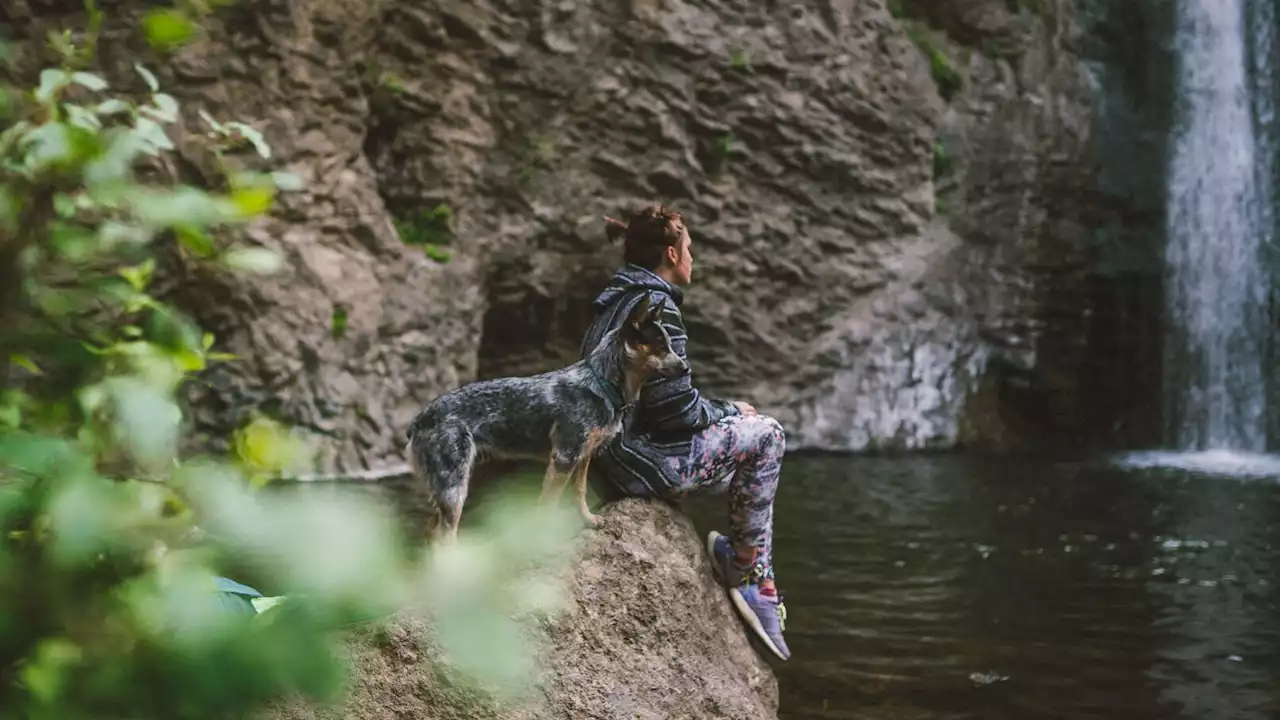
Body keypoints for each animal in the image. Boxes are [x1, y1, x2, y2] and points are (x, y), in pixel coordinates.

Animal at [409, 292, 691, 538]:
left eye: (670, 345)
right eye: (661, 346)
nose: (686, 368)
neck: (601, 385)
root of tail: (418, 421)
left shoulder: (583, 457)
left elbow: (580, 492)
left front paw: (588, 520)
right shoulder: (564, 458)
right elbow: (548, 505)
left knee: (432, 534)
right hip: (454, 488)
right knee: (445, 538)